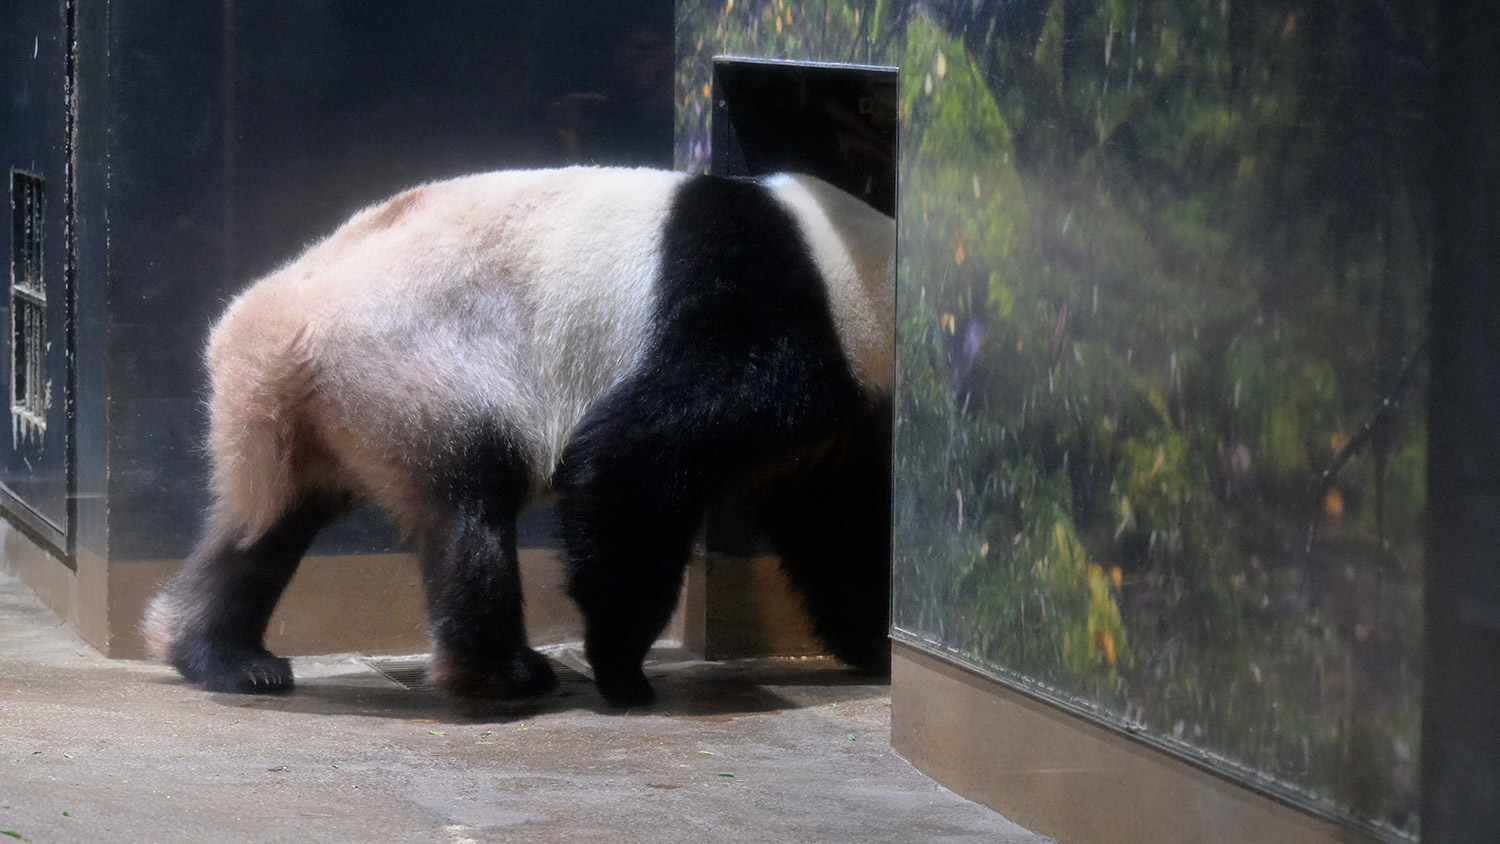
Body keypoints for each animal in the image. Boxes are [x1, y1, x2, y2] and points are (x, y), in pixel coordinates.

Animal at [143, 166, 894, 707]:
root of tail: (272, 327)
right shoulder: (765, 316)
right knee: (468, 508)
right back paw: (504, 672)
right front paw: (621, 670)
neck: (851, 269)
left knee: (266, 530)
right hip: (417, 369)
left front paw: (873, 641)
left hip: (315, 416)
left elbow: (837, 525)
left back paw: (226, 657)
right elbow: (632, 459)